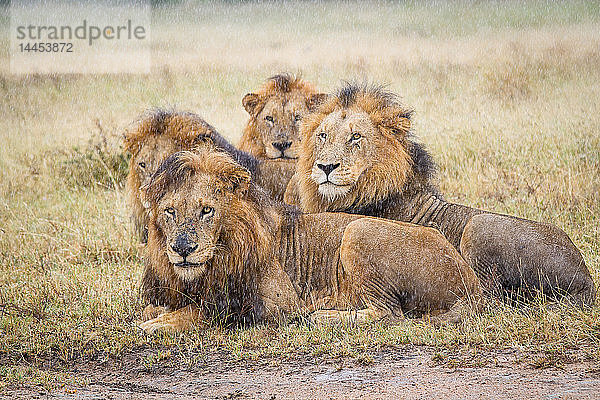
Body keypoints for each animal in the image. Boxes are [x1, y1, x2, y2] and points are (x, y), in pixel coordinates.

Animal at [137, 148, 482, 332]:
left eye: (207, 210)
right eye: (169, 211)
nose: (182, 249)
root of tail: (471, 284)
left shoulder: (278, 304)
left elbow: (209, 310)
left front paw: (161, 324)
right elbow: (156, 308)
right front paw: (157, 317)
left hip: (357, 231)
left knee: (388, 314)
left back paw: (323, 316)